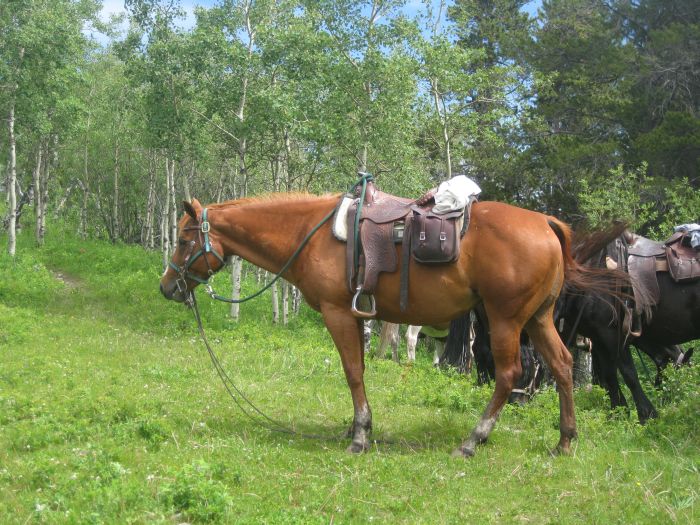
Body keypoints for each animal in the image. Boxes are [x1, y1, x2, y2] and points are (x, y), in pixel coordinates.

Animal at [161, 191, 616, 454]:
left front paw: (360, 435)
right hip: (538, 318)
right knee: (562, 366)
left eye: (183, 239)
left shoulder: (339, 313)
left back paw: (473, 440)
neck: (312, 232)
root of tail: (545, 223)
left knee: (508, 374)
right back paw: (564, 441)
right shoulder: (359, 317)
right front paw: (356, 427)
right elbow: (360, 369)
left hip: (505, 320)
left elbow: (352, 372)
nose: (167, 287)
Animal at [556, 225, 696, 422]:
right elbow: (616, 375)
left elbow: (622, 374)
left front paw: (639, 414)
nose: (677, 399)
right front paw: (627, 413)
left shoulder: (611, 335)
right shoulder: (602, 338)